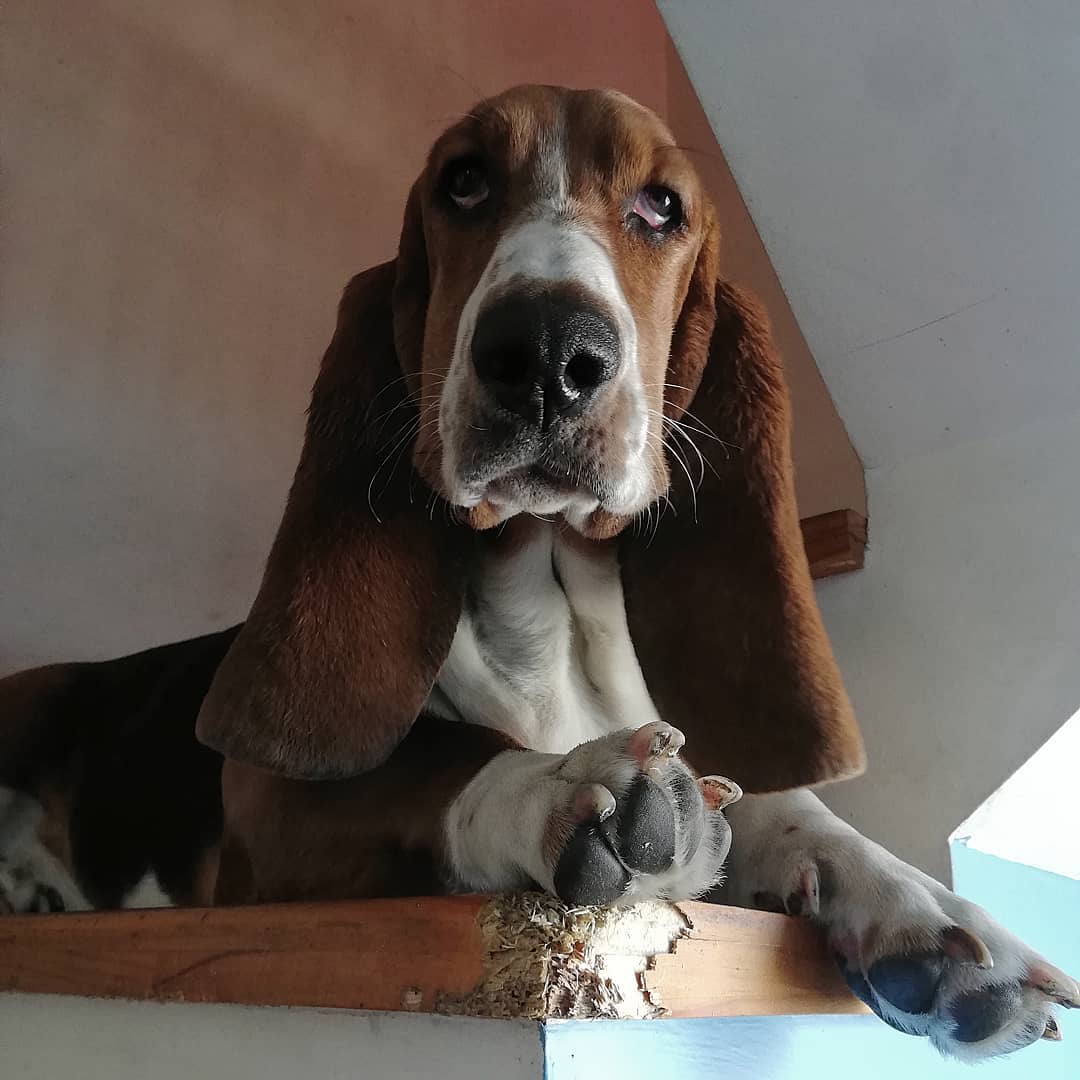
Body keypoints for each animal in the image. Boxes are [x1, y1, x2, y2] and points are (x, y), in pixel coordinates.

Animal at [4, 86, 1075, 1062]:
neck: (553, 625)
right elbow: (440, 760)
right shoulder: (267, 821)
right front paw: (570, 790)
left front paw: (930, 913)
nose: (550, 351)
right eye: (465, 181)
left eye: (660, 207)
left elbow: (789, 806)